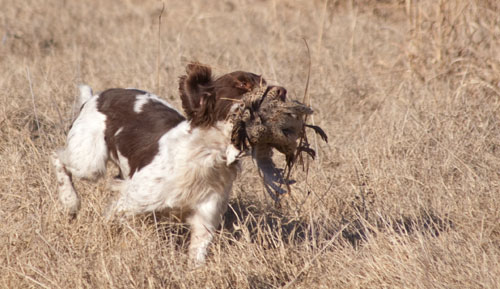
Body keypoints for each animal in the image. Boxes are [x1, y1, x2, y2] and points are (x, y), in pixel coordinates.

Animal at [52, 62, 288, 260]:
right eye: (242, 83)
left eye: (264, 82)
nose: (283, 91)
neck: (207, 155)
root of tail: (95, 97)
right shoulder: (130, 201)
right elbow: (111, 221)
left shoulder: (205, 218)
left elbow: (197, 256)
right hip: (89, 162)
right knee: (57, 157)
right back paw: (70, 202)